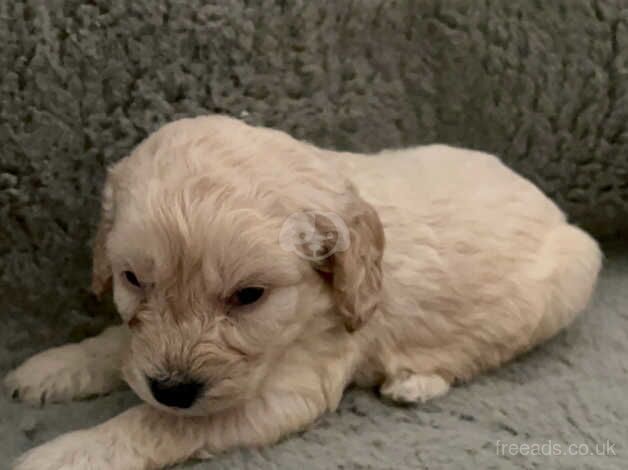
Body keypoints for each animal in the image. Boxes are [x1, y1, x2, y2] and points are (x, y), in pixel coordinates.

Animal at [4, 115, 604, 468]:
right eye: (133, 280)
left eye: (249, 296)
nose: (172, 389)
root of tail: (551, 204)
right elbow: (117, 345)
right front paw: (52, 367)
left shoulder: (291, 390)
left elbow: (157, 423)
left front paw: (66, 452)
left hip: (571, 276)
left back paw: (416, 382)